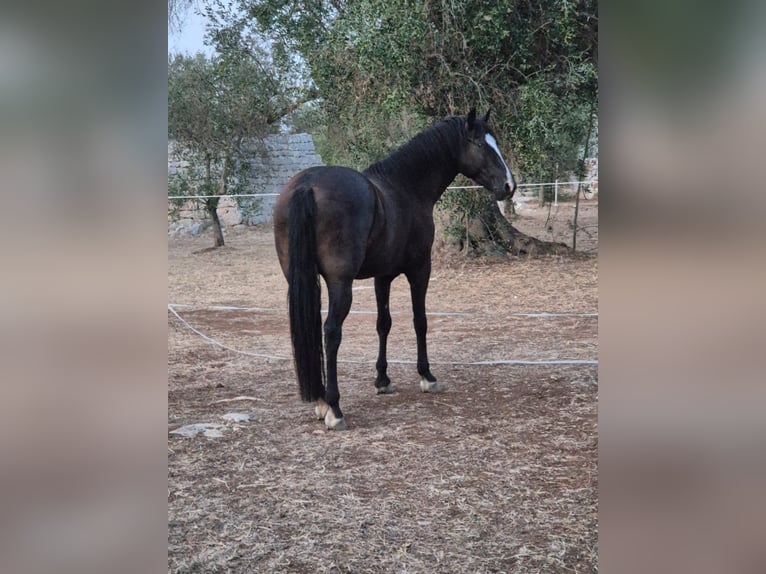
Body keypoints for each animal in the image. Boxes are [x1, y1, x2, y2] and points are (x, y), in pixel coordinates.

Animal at [273, 109, 516, 430]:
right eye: (480, 144)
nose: (509, 186)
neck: (406, 188)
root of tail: (307, 185)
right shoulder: (420, 270)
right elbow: (419, 321)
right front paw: (427, 376)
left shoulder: (382, 276)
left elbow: (383, 324)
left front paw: (382, 380)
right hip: (341, 284)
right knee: (331, 332)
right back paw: (334, 408)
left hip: (300, 281)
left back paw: (320, 400)